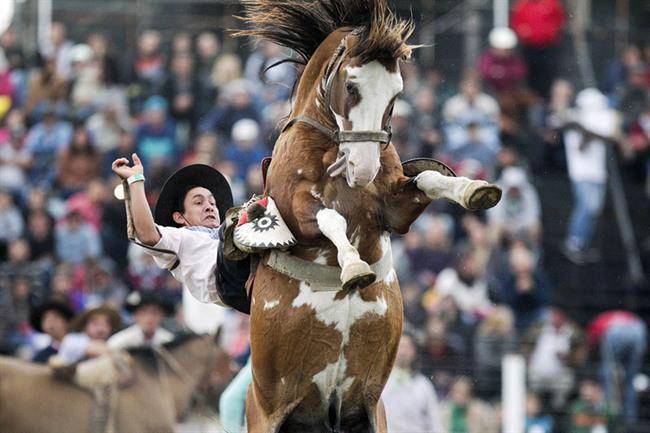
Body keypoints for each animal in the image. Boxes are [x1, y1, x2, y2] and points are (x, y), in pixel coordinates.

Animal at [235, 0, 498, 432]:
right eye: (351, 86)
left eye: (397, 92)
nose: (363, 168)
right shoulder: (296, 209)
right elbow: (331, 218)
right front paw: (353, 265)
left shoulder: (394, 208)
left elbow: (427, 179)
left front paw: (472, 189)